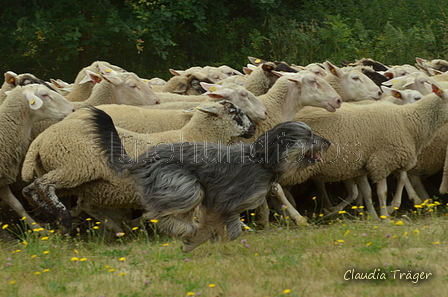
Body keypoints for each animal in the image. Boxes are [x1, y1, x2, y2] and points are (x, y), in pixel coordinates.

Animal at [21, 99, 256, 231]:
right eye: (233, 111)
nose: (253, 127)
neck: (196, 135)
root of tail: (41, 139)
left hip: (76, 178)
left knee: (37, 190)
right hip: (74, 167)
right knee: (39, 186)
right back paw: (63, 218)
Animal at [89, 107, 330, 251]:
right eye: (309, 136)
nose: (328, 142)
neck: (262, 161)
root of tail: (141, 159)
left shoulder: (224, 207)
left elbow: (224, 228)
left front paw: (205, 241)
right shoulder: (225, 200)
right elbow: (227, 228)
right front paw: (201, 241)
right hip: (184, 185)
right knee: (157, 214)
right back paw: (187, 231)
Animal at [280, 83, 448, 217]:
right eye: (417, 97)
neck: (408, 120)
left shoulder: (381, 162)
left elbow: (391, 185)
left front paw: (382, 212)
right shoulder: (381, 161)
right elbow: (382, 191)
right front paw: (384, 216)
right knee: (277, 186)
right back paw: (295, 216)